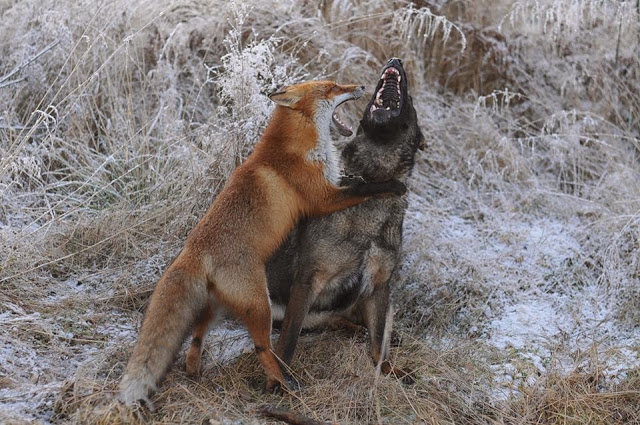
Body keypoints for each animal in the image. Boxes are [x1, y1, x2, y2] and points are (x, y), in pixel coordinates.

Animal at [118, 80, 404, 408]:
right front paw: (393, 185)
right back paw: (285, 382)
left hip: (221, 304)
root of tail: (192, 250)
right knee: (262, 348)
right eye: (331, 87)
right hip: (260, 306)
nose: (360, 85)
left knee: (199, 330)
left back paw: (193, 367)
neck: (296, 147)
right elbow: (365, 189)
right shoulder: (323, 198)